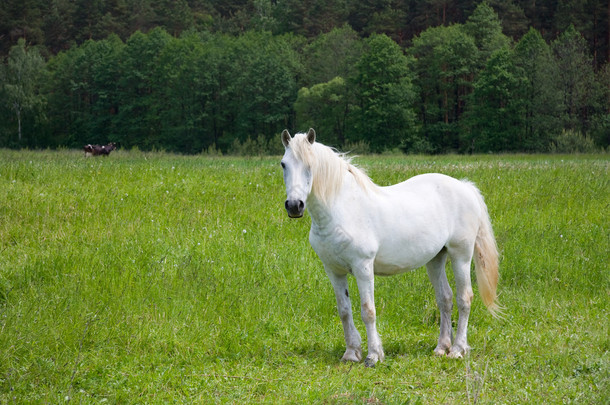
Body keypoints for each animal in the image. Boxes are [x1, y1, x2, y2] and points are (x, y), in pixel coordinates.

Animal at [280, 129, 498, 366]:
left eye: (310, 165)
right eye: (283, 164)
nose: (294, 206)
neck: (342, 209)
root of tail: (465, 187)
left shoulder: (363, 268)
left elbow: (368, 310)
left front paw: (373, 355)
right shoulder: (334, 271)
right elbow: (344, 310)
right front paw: (351, 353)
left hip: (461, 256)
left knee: (464, 298)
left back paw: (457, 349)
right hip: (435, 259)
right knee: (445, 299)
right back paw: (441, 347)